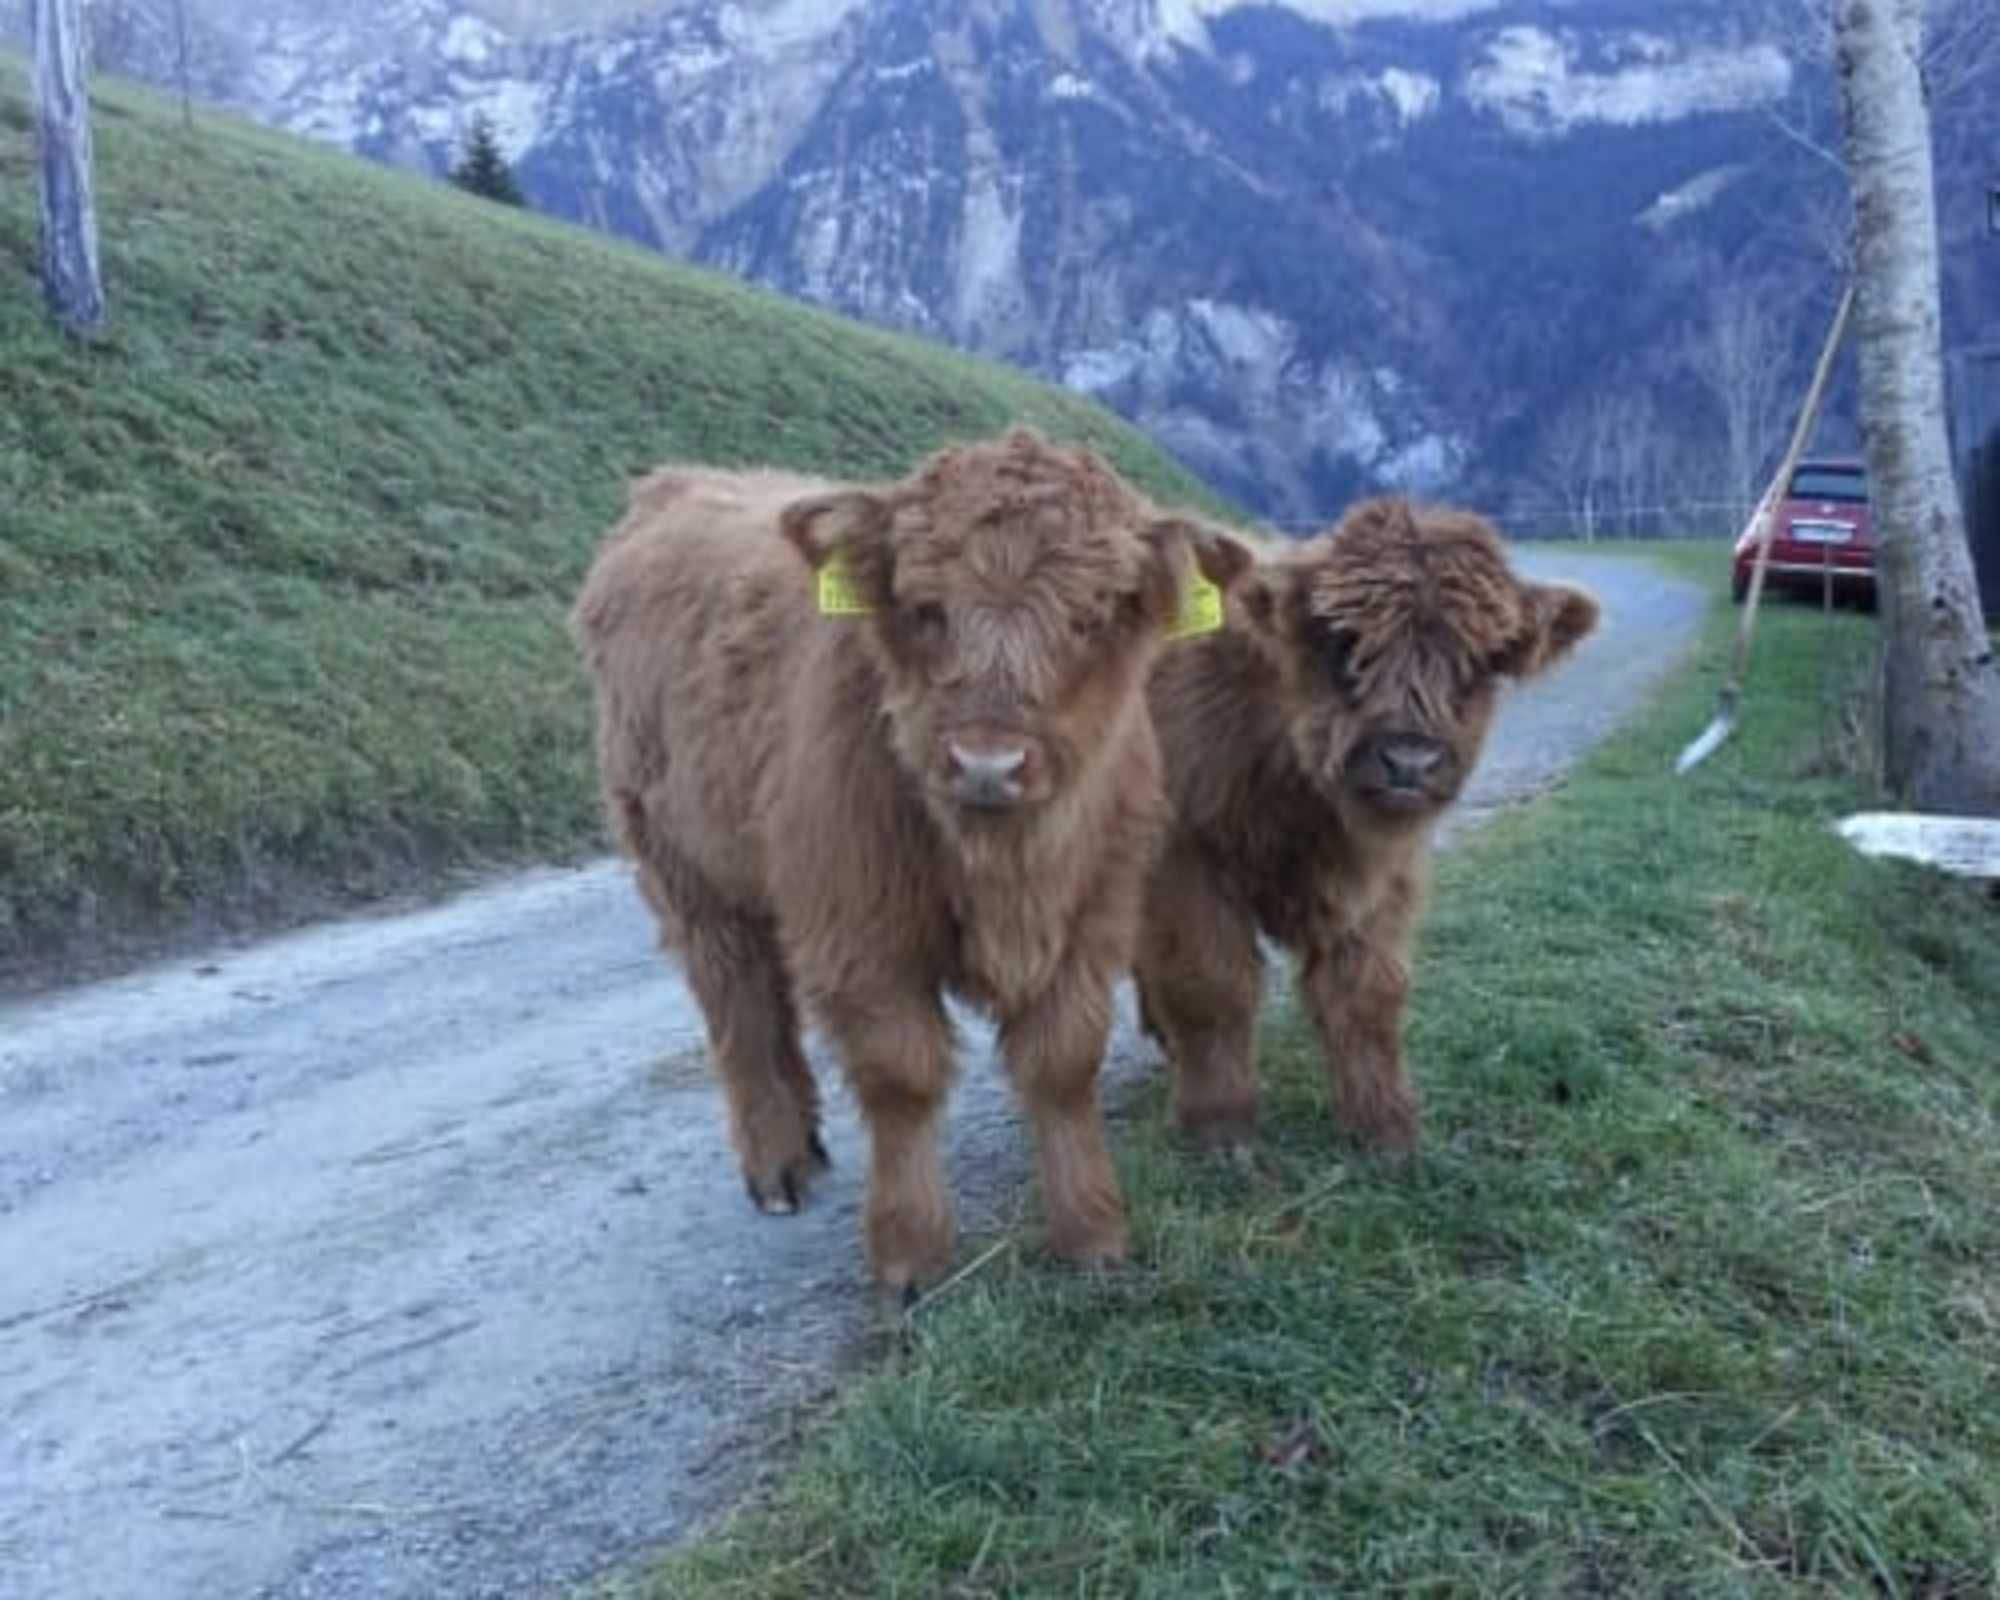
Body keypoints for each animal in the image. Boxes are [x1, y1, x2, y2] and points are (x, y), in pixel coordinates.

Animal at [569, 428, 1255, 1298]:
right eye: (928, 608)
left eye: (1090, 615)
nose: (988, 764)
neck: (1003, 865)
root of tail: (677, 483)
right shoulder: (860, 929)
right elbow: (902, 1076)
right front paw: (910, 1257)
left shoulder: (1092, 915)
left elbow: (1064, 1065)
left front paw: (1092, 1235)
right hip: (686, 871)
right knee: (740, 1002)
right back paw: (779, 1165)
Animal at [1135, 496, 1601, 1157]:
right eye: (1343, 643)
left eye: (1479, 663)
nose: (1409, 762)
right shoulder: (1184, 861)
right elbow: (1210, 983)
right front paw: (1219, 1125)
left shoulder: (1383, 876)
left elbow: (1369, 993)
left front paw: (1384, 1127)